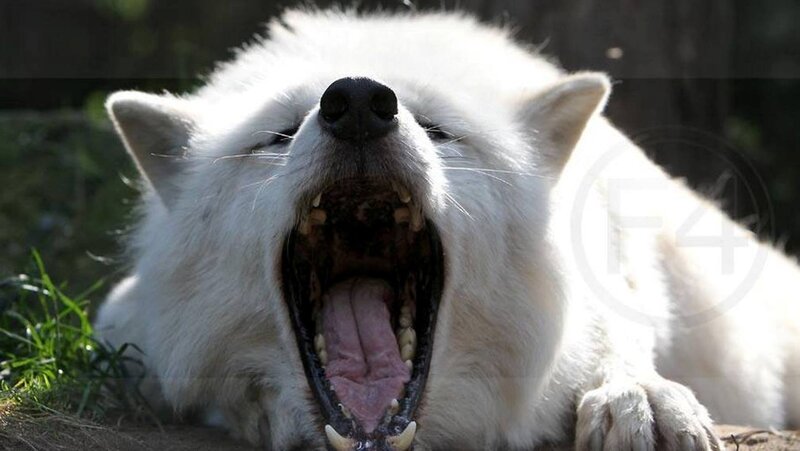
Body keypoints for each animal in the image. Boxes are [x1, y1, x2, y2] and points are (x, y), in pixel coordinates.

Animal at [94, 9, 800, 451]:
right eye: (279, 135)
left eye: (439, 132)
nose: (357, 102)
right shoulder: (120, 328)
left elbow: (614, 336)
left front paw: (640, 398)